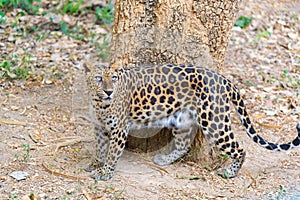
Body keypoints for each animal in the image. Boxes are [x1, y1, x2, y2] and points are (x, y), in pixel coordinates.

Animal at [83, 63, 300, 181]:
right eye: (98, 78)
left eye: (113, 78)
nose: (109, 91)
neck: (99, 103)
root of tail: (223, 78)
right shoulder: (99, 127)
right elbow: (101, 148)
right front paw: (96, 164)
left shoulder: (120, 129)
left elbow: (112, 153)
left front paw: (105, 172)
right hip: (182, 120)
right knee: (183, 145)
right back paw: (164, 160)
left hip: (215, 123)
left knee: (240, 149)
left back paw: (229, 172)